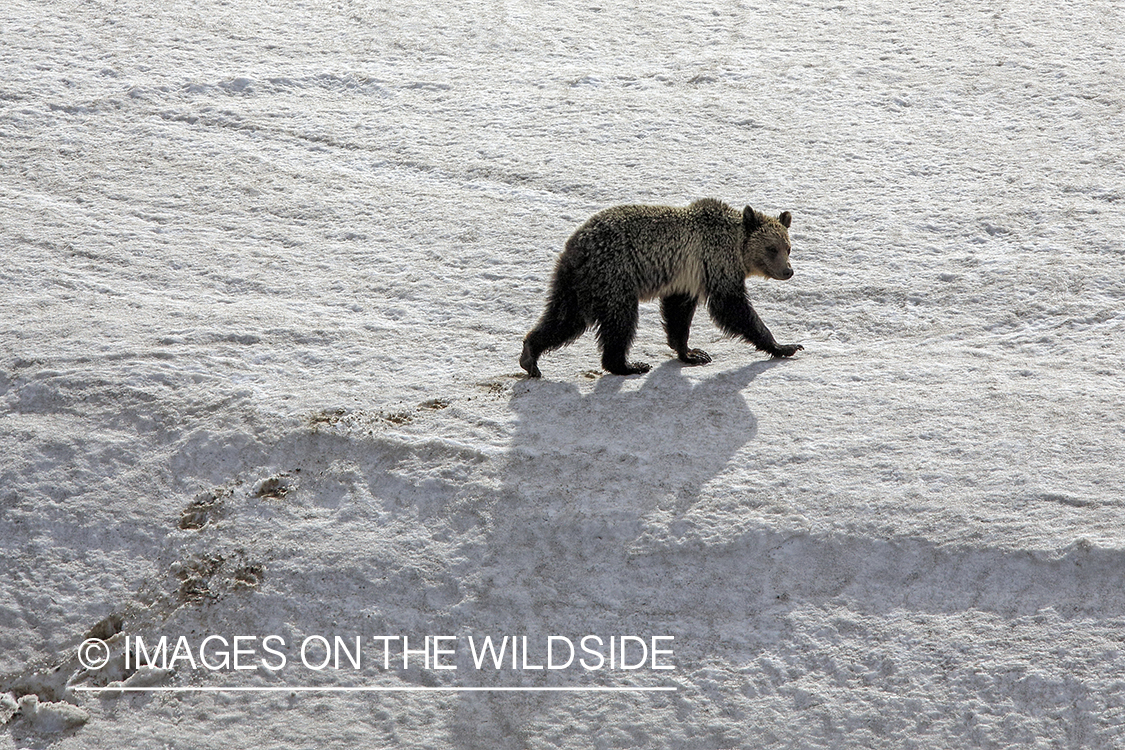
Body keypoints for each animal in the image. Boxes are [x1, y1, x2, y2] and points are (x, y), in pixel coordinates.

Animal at [520, 198, 802, 377]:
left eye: (788, 247)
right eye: (772, 248)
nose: (787, 271)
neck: (736, 250)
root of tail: (577, 246)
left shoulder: (685, 277)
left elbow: (678, 314)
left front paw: (692, 353)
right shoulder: (715, 263)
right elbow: (732, 307)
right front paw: (784, 346)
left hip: (577, 282)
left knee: (564, 318)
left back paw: (530, 355)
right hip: (614, 275)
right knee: (619, 320)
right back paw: (628, 365)